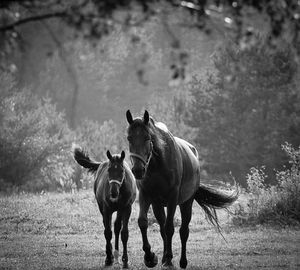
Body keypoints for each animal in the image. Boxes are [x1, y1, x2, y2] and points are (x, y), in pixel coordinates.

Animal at [125, 109, 238, 268]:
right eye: (129, 138)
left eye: (147, 138)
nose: (138, 170)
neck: (158, 164)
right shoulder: (146, 196)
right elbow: (143, 222)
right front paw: (150, 257)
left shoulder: (173, 198)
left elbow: (170, 228)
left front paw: (168, 258)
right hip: (158, 205)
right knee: (162, 228)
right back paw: (164, 258)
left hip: (186, 203)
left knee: (183, 231)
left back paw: (181, 261)